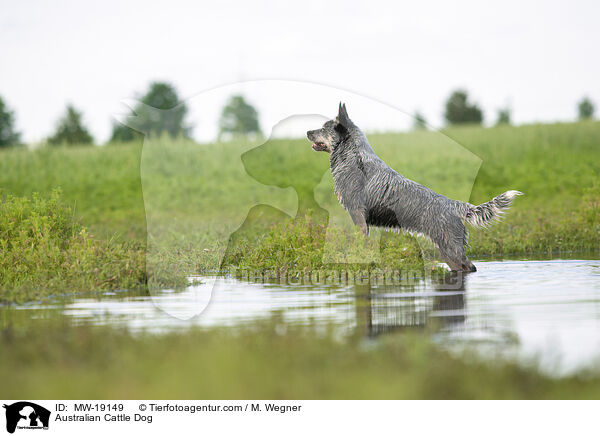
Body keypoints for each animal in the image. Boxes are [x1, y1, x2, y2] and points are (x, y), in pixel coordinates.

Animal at [308, 103, 524, 270]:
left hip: (451, 247)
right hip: (444, 249)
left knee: (470, 267)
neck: (353, 157)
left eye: (324, 127)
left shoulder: (357, 214)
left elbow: (360, 242)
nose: (308, 132)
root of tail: (455, 205)